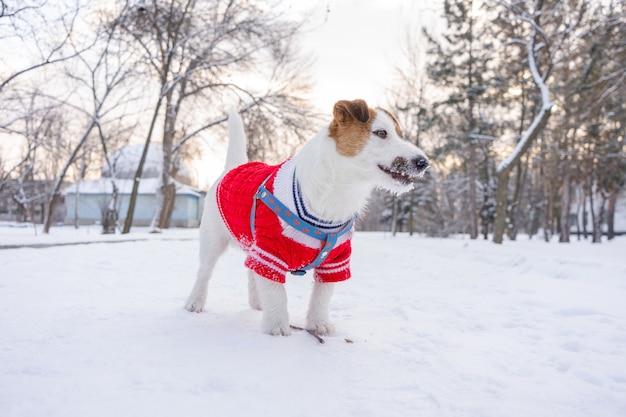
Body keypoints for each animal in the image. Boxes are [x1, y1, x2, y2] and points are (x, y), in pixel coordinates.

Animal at [185, 99, 428, 336]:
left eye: (400, 134)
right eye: (381, 133)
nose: (424, 162)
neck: (336, 192)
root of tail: (234, 167)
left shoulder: (334, 261)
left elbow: (322, 295)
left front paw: (318, 324)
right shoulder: (270, 251)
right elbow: (276, 292)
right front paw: (277, 326)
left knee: (252, 272)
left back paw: (257, 303)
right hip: (213, 240)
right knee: (204, 272)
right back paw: (195, 302)